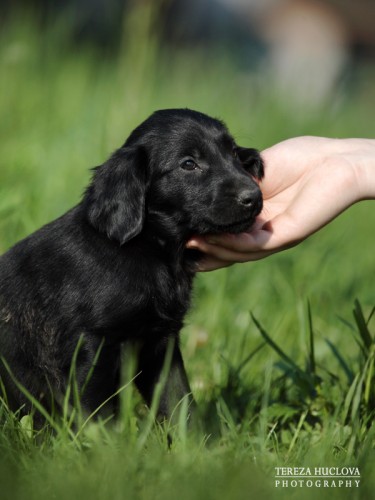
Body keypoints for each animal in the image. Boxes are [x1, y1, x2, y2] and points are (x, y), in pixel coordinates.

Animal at [0, 109, 264, 422]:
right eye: (189, 164)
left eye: (234, 153)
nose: (254, 197)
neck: (148, 249)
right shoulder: (92, 344)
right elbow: (97, 412)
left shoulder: (161, 341)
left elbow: (178, 400)